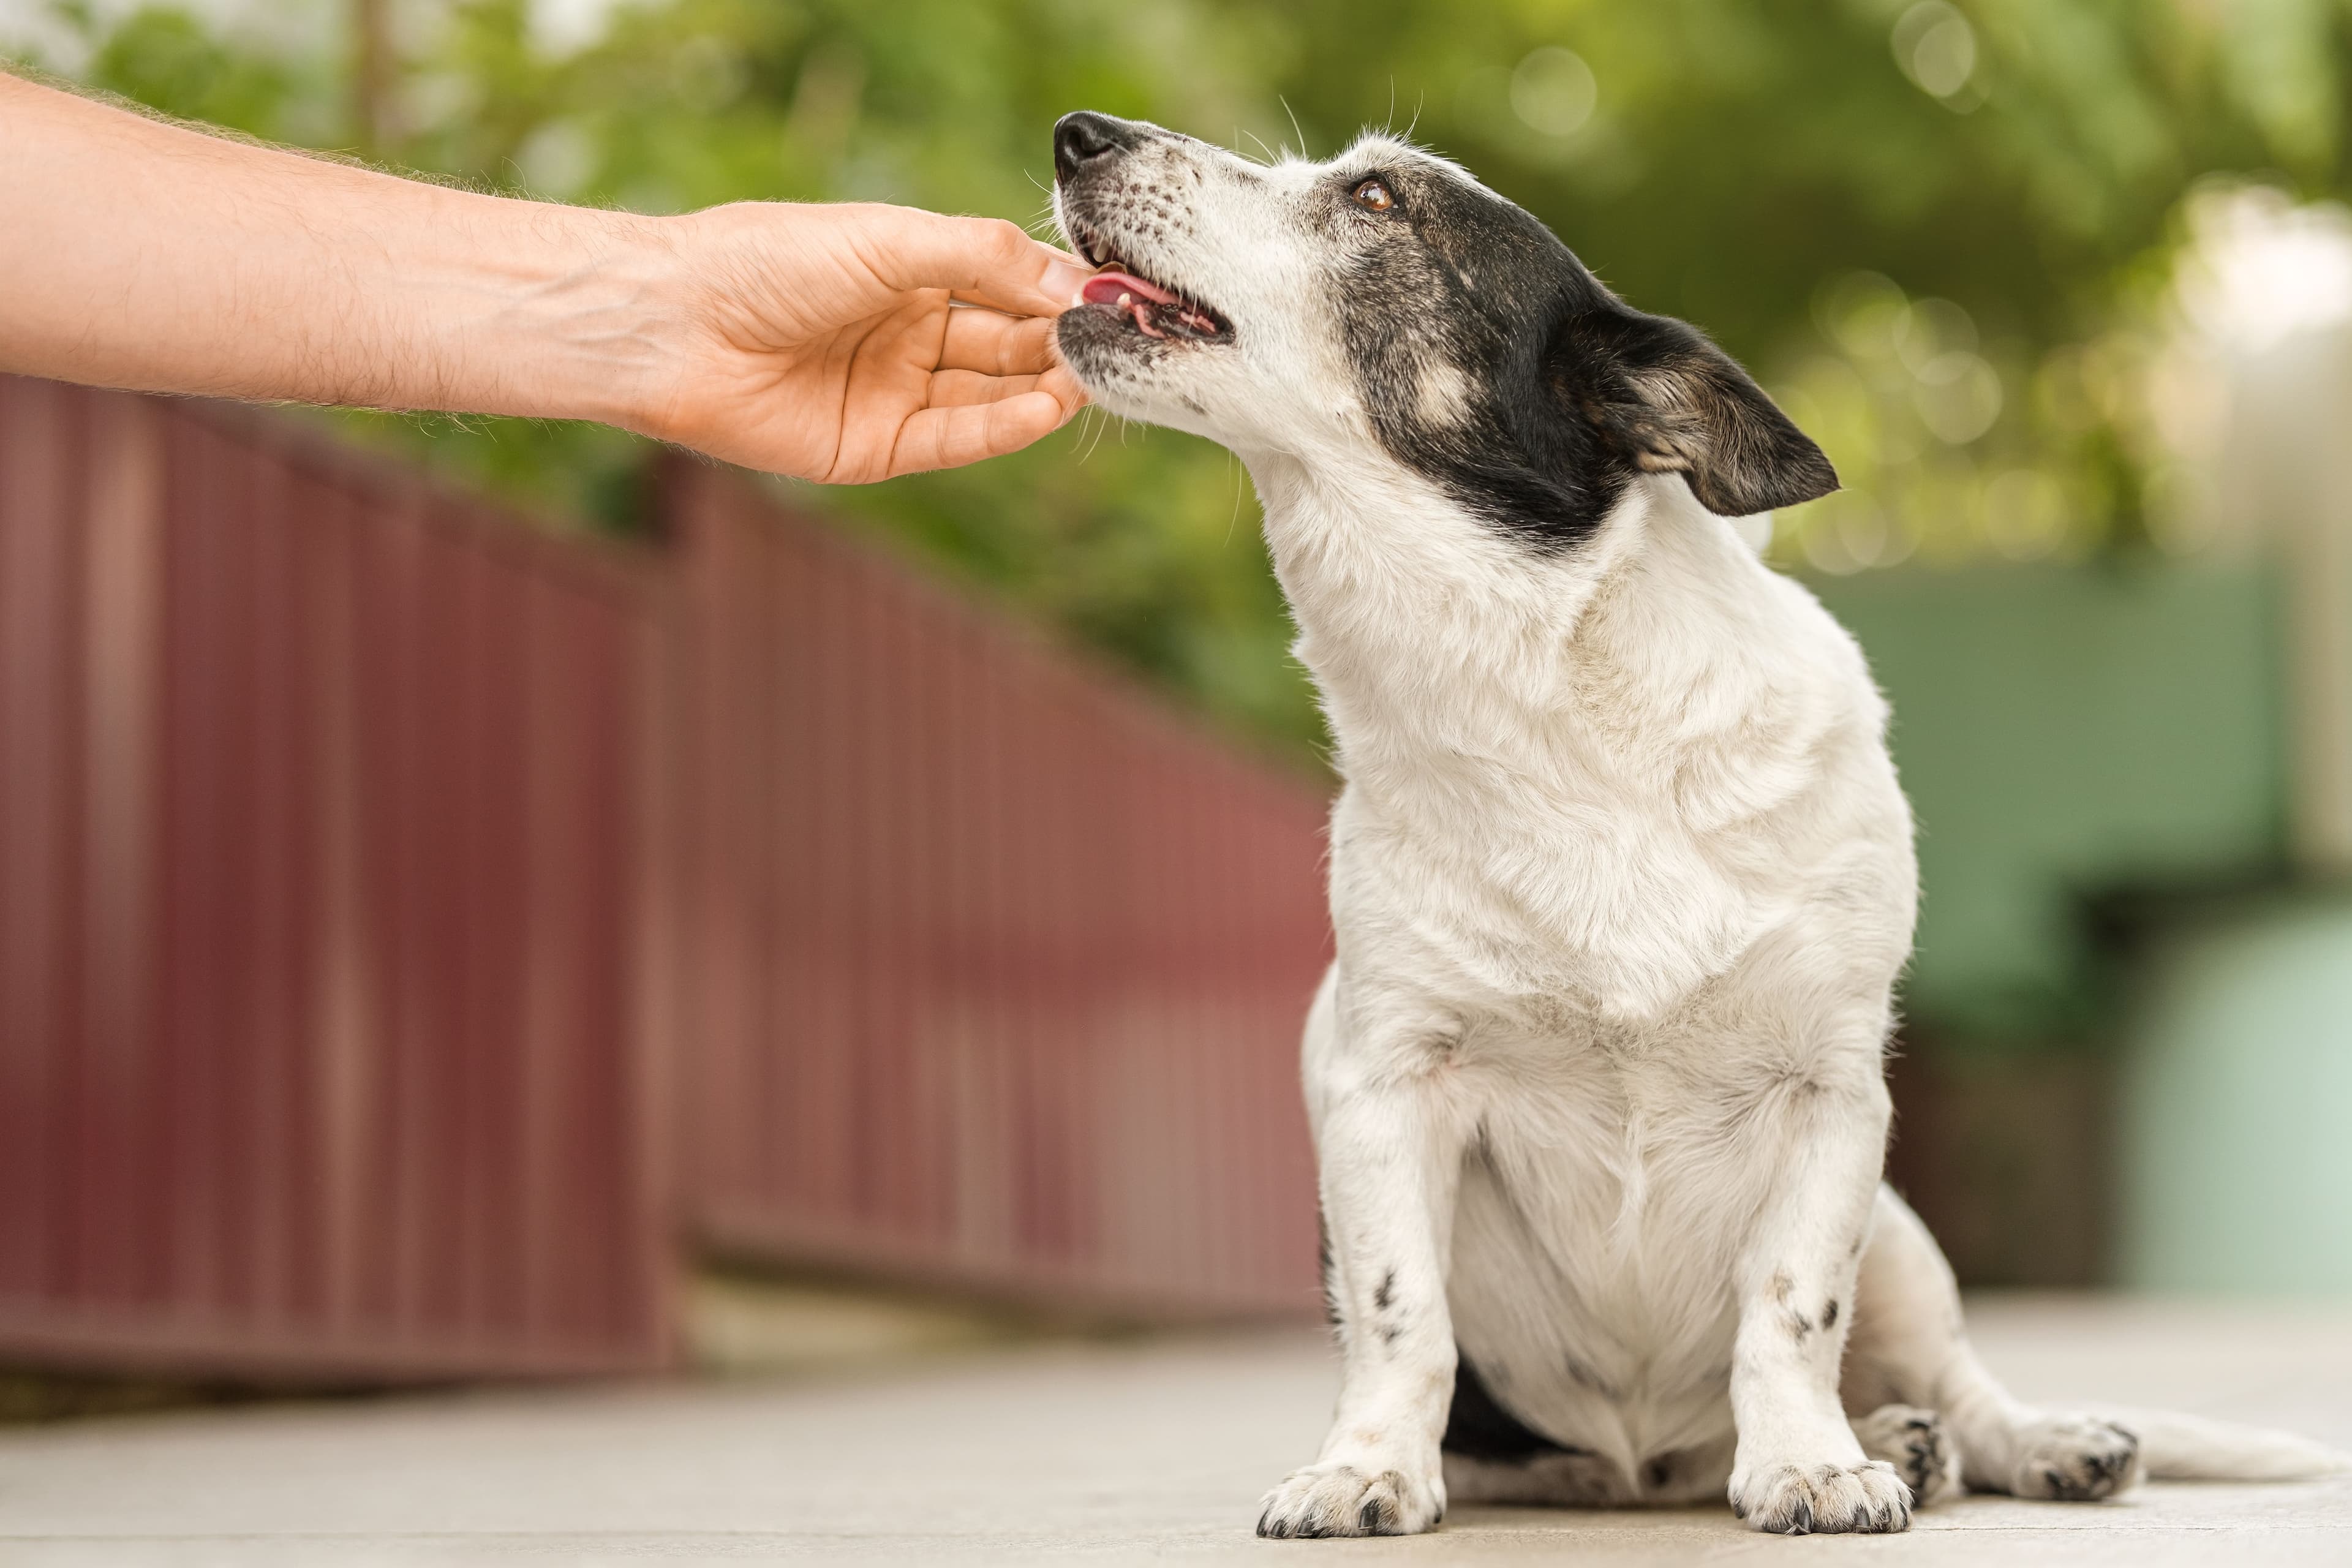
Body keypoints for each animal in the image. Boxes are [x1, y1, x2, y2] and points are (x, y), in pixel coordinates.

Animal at [1054, 113, 2352, 1542]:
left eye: (1380, 197)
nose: (1079, 133)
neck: (1551, 713)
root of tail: (1645, 1462)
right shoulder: (1390, 1087)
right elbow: (1401, 1318)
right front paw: (1368, 1467)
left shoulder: (1832, 1095)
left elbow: (1791, 1309)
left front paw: (1811, 1465)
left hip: (1903, 1231)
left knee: (1958, 1388)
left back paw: (2003, 1440)